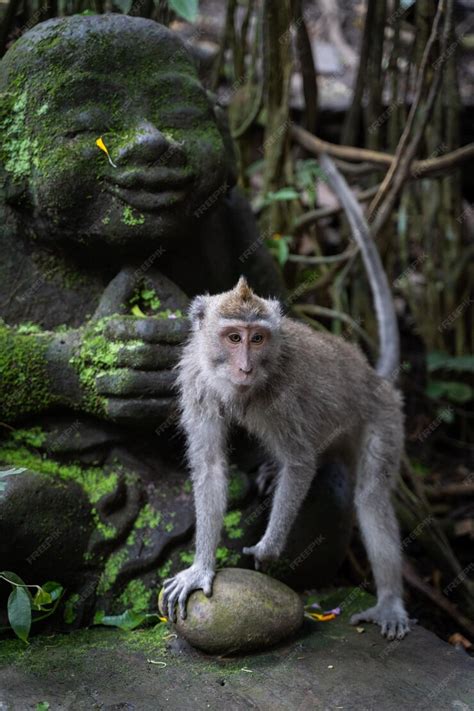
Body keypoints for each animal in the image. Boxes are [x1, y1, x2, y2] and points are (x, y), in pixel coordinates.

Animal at [162, 153, 411, 641]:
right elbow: (212, 467)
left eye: (257, 338)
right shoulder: (196, 383)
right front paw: (201, 566)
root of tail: (373, 377)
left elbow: (300, 462)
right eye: (233, 336)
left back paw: (390, 602)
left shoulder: (283, 398)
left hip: (384, 419)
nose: (245, 366)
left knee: (370, 496)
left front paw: (270, 547)